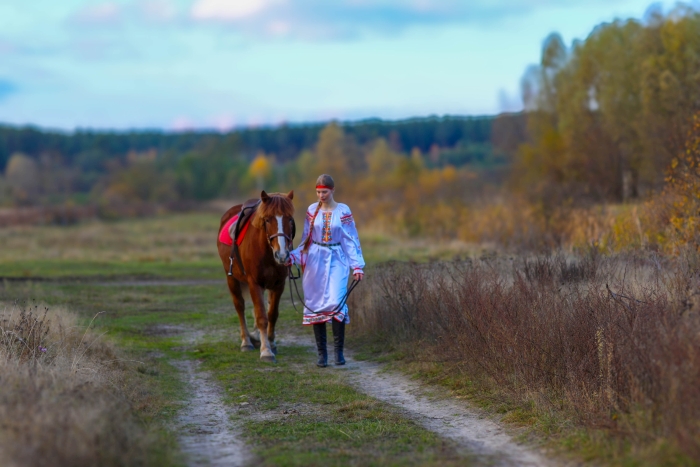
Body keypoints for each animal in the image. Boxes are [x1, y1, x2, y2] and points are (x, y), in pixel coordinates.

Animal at [217, 190, 295, 363]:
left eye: (290, 219)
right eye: (267, 219)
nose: (282, 255)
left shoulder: (278, 284)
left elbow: (272, 314)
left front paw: (271, 343)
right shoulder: (254, 283)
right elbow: (261, 317)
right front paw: (266, 351)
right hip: (232, 278)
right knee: (240, 307)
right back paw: (246, 342)